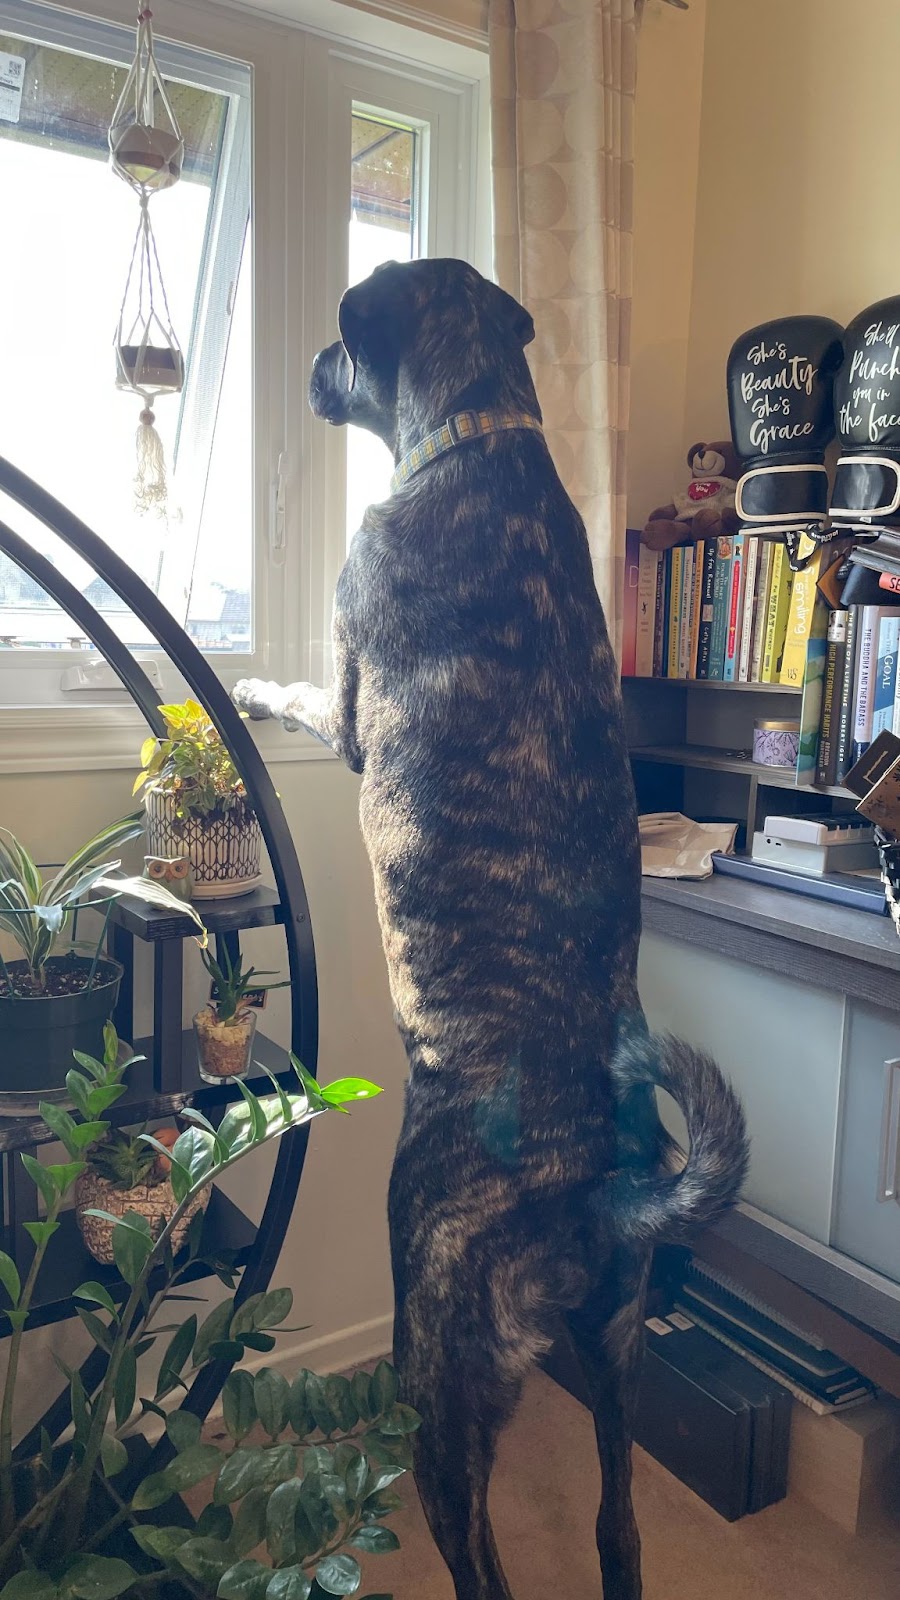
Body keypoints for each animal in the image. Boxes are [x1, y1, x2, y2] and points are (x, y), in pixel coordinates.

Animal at [230, 262, 743, 1600]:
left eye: (341, 343)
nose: (314, 371)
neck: (479, 432)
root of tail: (596, 1192)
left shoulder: (349, 682)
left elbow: (299, 692)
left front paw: (247, 686)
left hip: (442, 1372)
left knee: (482, 1559)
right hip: (617, 1351)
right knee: (619, 1526)